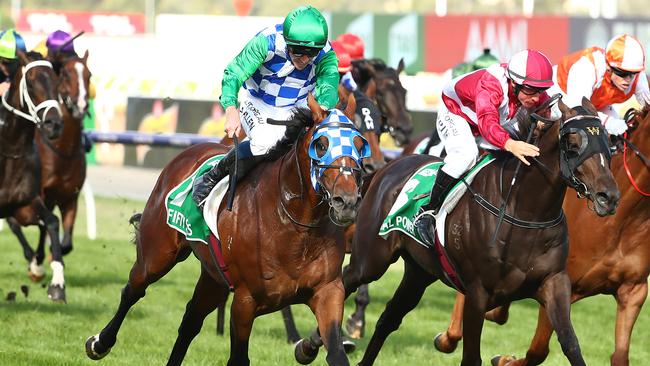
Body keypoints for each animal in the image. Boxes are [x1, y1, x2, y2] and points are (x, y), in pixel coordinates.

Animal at [0, 51, 64, 302]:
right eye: (32, 81)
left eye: (57, 82)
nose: (54, 124)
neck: (11, 149)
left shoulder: (25, 203)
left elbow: (52, 221)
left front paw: (57, 284)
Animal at [6, 50, 91, 280]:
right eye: (66, 75)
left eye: (88, 75)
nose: (80, 106)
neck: (64, 151)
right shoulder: (39, 194)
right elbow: (42, 227)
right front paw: (38, 262)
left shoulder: (70, 197)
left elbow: (67, 242)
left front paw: (55, 255)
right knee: (15, 224)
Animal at [85, 95, 364, 366]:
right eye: (322, 145)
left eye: (360, 145)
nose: (346, 201)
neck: (295, 225)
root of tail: (188, 153)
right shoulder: (244, 301)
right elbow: (238, 358)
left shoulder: (328, 291)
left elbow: (337, 354)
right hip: (157, 254)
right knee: (133, 289)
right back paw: (99, 343)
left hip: (214, 276)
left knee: (191, 320)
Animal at [294, 97, 616, 366]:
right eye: (572, 143)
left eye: (608, 143)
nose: (609, 196)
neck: (525, 212)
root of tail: (389, 166)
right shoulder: (477, 293)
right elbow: (471, 357)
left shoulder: (554, 282)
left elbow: (571, 344)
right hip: (371, 260)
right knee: (346, 282)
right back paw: (307, 346)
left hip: (419, 272)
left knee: (388, 318)